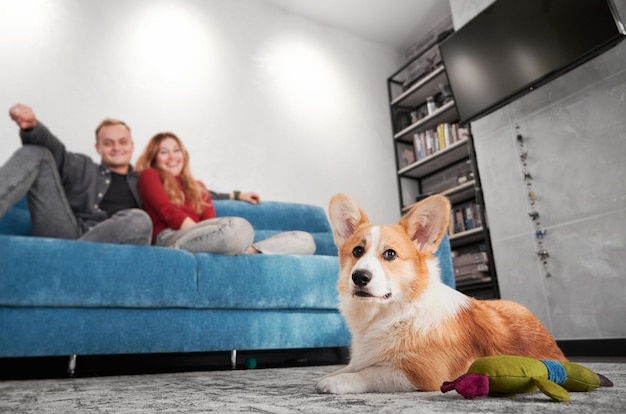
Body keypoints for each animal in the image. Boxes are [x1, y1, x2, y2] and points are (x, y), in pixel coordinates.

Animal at [314, 194, 564, 394]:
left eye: (390, 254)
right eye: (357, 251)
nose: (359, 277)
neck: (393, 314)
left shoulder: (422, 373)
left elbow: (370, 373)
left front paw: (336, 382)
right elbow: (349, 366)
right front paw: (330, 375)